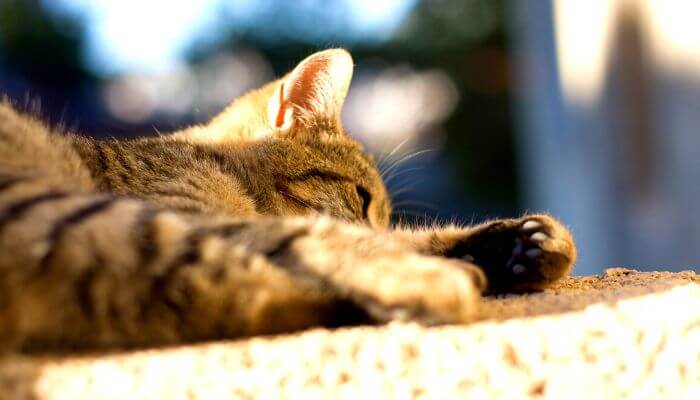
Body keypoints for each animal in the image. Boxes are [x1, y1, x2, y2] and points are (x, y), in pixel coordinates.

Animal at [0, 49, 576, 350]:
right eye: (361, 196)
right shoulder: (186, 210)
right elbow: (328, 237)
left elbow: (401, 238)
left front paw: (526, 242)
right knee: (230, 289)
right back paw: (440, 283)